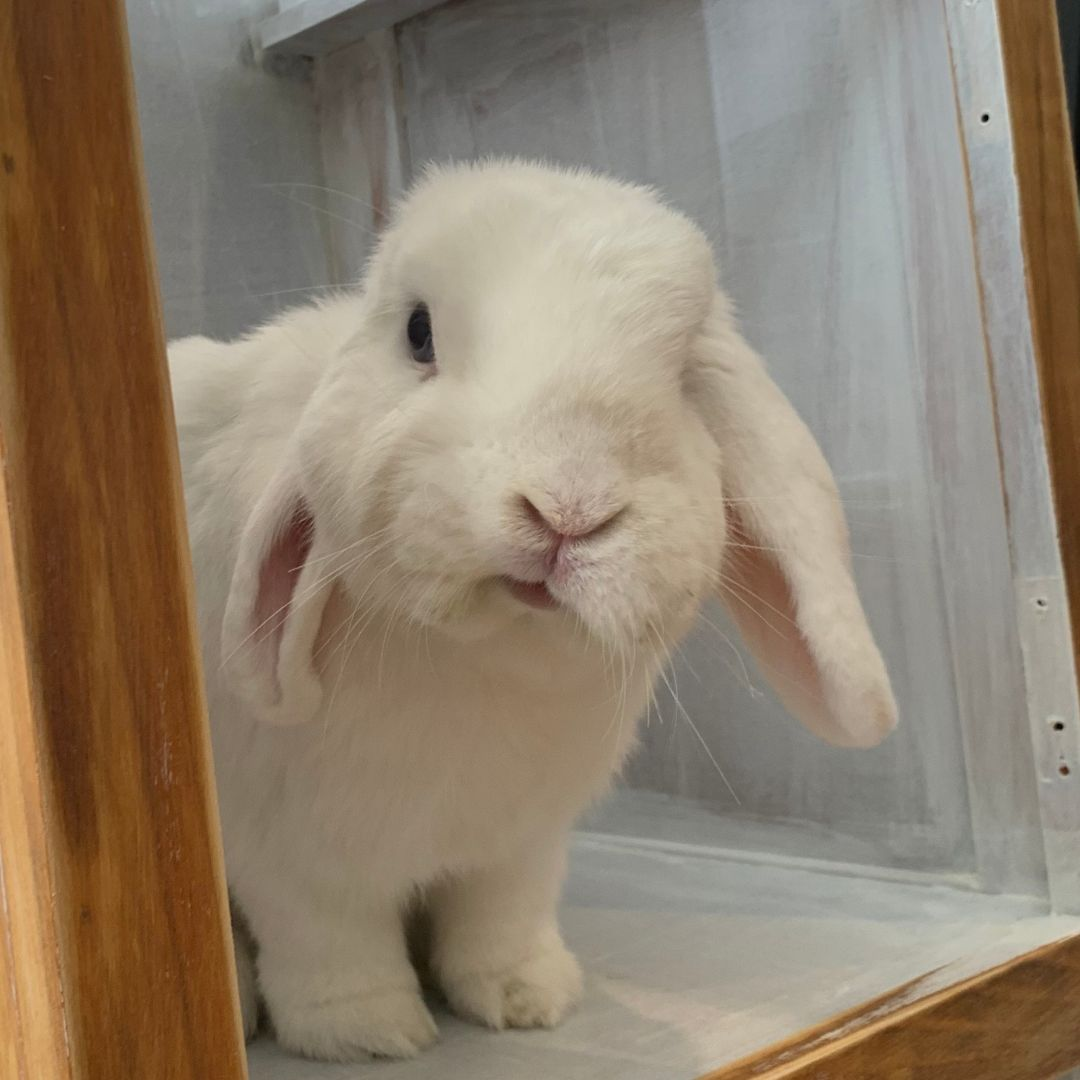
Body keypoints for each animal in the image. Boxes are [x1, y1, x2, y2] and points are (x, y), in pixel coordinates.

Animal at [169, 159, 897, 1062]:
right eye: (418, 333)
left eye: (684, 375)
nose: (568, 508)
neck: (482, 661)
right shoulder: (294, 857)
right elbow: (332, 942)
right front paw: (369, 1035)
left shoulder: (518, 845)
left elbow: (500, 924)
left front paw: (529, 1001)